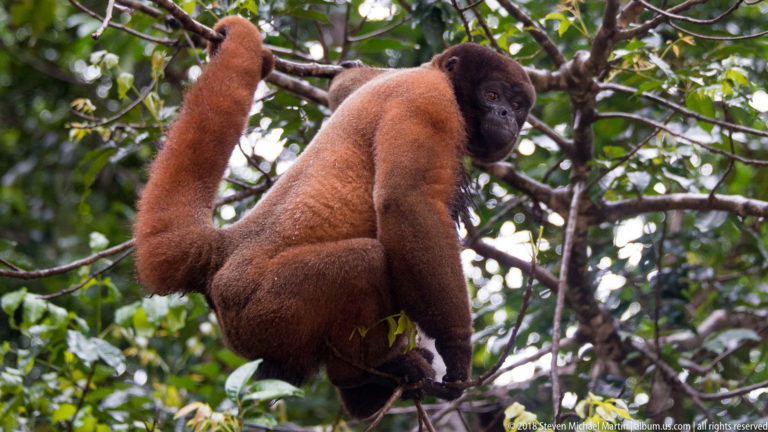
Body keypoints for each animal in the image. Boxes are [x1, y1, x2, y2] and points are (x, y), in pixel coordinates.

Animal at [133, 16, 534, 418]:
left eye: (517, 105)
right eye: (493, 96)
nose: (507, 117)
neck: (436, 73)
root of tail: (226, 248)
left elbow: (347, 88)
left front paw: (346, 72)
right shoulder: (428, 98)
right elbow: (406, 200)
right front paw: (457, 350)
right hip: (263, 309)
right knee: (366, 261)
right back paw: (363, 378)